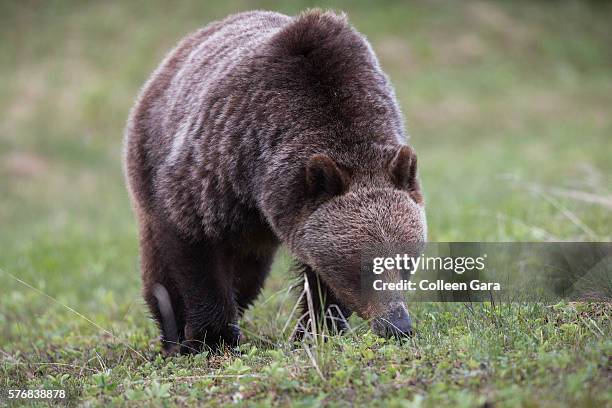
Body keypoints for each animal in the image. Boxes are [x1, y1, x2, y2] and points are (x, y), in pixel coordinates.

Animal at [125, 8, 426, 354]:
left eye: (405, 261)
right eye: (362, 268)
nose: (398, 325)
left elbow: (320, 281)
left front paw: (316, 332)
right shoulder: (218, 170)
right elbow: (195, 250)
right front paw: (212, 338)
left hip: (250, 234)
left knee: (247, 277)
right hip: (149, 157)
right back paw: (173, 336)